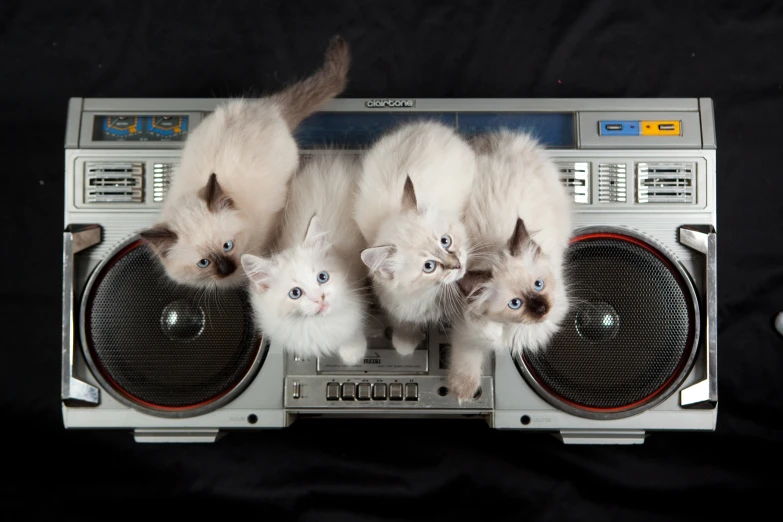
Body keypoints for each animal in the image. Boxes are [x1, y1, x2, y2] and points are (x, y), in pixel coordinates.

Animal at [240, 152, 370, 364]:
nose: (320, 298)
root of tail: (335, 158)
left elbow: (351, 332)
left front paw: (353, 352)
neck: (312, 325)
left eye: (322, 277)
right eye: (295, 293)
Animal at [356, 119, 478, 354]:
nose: (457, 264)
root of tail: (425, 125)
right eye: (428, 267)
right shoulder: (397, 304)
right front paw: (405, 342)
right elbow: (404, 321)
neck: (430, 293)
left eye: (445, 241)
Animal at [448, 129, 576, 398]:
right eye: (515, 303)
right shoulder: (467, 330)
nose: (541, 308)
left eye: (538, 285)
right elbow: (466, 361)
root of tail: (501, 139)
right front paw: (463, 393)